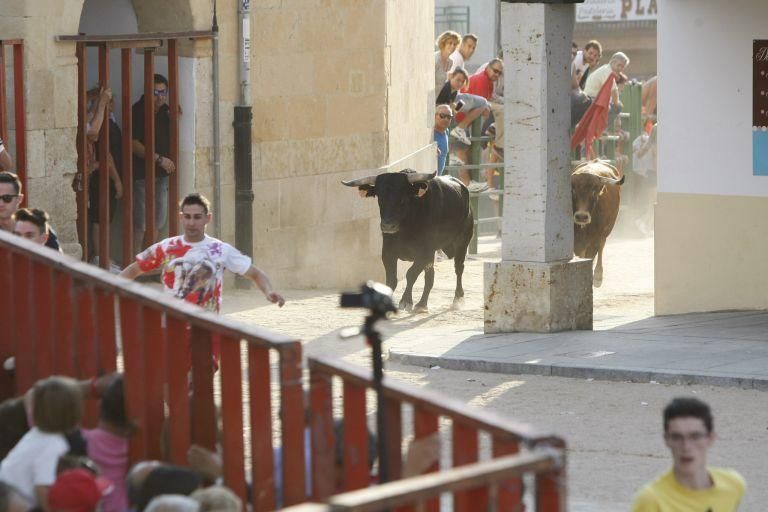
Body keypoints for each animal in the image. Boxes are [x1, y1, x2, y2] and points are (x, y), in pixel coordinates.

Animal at [344, 170, 474, 312]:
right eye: (380, 197)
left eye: (402, 197)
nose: (388, 226)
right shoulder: (388, 253)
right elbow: (391, 279)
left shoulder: (423, 253)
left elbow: (411, 274)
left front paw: (406, 301)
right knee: (430, 275)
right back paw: (422, 304)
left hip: (462, 242)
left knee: (459, 268)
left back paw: (458, 299)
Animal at [568, 160, 624, 288]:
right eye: (573, 190)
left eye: (593, 191)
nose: (581, 216)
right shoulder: (576, 241)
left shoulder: (594, 240)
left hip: (606, 232)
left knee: (601, 247)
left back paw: (598, 275)